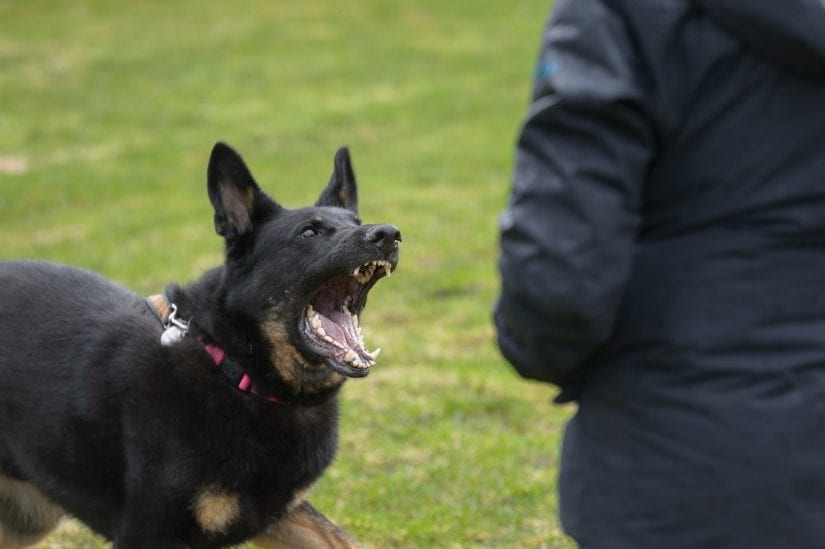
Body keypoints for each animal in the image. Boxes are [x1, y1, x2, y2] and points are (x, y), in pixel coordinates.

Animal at [0, 142, 400, 548]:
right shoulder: (149, 532)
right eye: (308, 232)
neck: (230, 365)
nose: (389, 233)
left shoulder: (281, 515)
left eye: (357, 221)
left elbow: (344, 540)